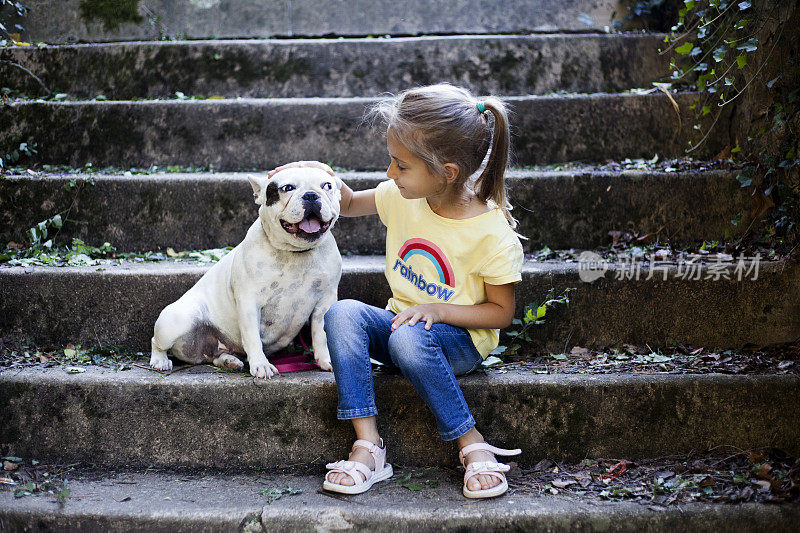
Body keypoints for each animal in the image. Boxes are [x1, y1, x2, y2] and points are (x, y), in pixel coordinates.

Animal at [148, 166, 342, 378]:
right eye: (287, 188)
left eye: (327, 186)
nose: (311, 195)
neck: (296, 253)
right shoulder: (249, 302)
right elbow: (252, 336)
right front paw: (261, 364)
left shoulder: (325, 301)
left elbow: (320, 334)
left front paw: (326, 359)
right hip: (178, 321)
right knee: (156, 342)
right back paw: (160, 360)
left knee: (215, 355)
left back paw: (229, 361)